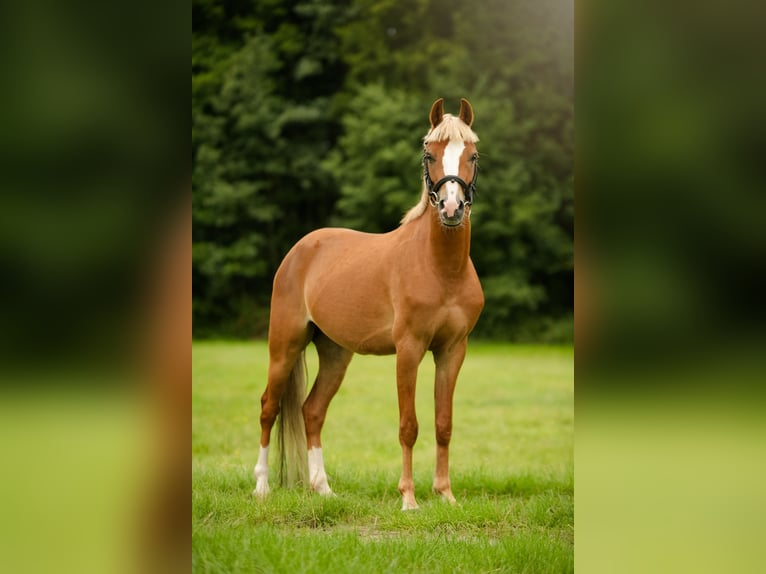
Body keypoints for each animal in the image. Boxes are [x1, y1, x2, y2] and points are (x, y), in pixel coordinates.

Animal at [253, 98, 484, 510]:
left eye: (472, 155)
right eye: (429, 154)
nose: (451, 209)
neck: (441, 269)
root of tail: (301, 249)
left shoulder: (452, 350)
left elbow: (443, 424)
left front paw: (445, 495)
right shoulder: (409, 350)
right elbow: (409, 425)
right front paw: (408, 499)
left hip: (335, 353)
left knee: (312, 411)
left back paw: (323, 488)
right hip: (284, 345)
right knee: (269, 407)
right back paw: (262, 486)